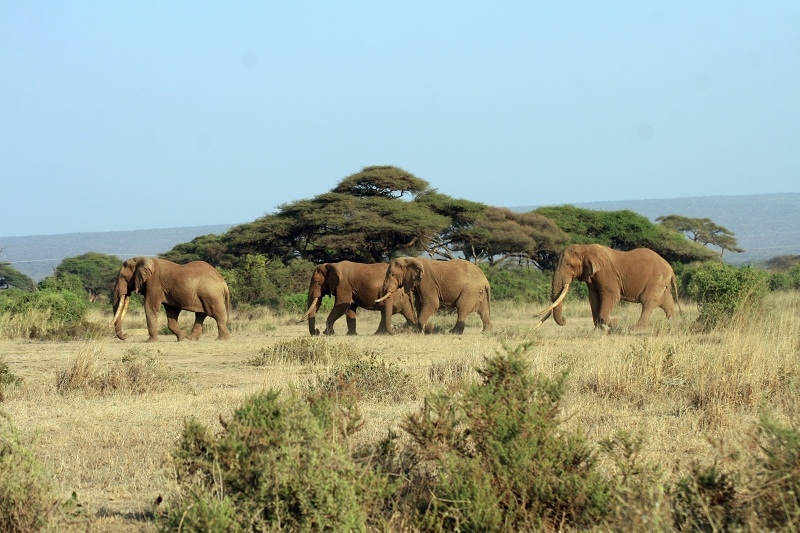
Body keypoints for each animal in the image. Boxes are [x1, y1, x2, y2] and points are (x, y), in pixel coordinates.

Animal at [536, 244, 680, 328]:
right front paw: (598, 329)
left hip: (657, 280)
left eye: (569, 265)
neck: (585, 248)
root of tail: (671, 269)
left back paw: (636, 327)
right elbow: (594, 299)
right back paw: (672, 324)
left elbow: (611, 295)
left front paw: (615, 323)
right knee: (666, 302)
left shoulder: (606, 272)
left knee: (648, 302)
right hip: (662, 283)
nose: (565, 320)